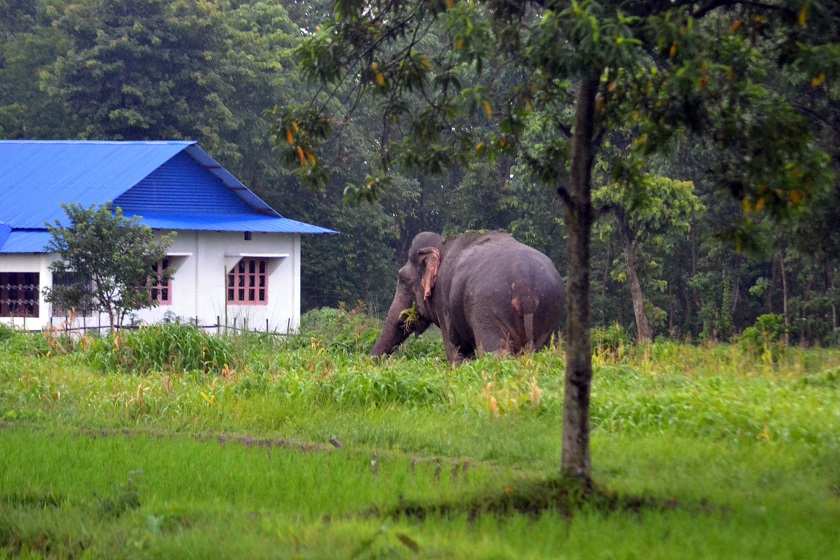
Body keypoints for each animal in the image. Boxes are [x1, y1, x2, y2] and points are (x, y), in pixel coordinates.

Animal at [372, 229, 564, 364]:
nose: (371, 363)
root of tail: (525, 289)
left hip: (487, 308)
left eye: (403, 279)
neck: (442, 244)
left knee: (494, 351)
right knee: (539, 351)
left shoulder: (443, 299)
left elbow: (456, 348)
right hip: (548, 311)